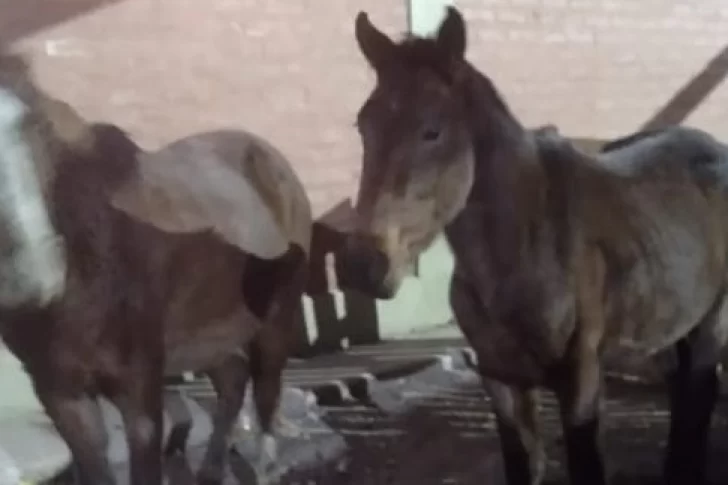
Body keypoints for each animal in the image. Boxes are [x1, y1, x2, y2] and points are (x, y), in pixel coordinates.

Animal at [0, 51, 312, 485]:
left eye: (35, 128)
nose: (32, 275)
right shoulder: (60, 392)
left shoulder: (139, 388)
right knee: (233, 379)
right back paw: (211, 469)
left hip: (275, 318)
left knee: (266, 394)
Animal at [339, 7, 728, 485]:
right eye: (363, 125)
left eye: (432, 131)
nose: (363, 263)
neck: (521, 250)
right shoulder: (501, 381)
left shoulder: (581, 382)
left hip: (711, 320)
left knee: (699, 392)